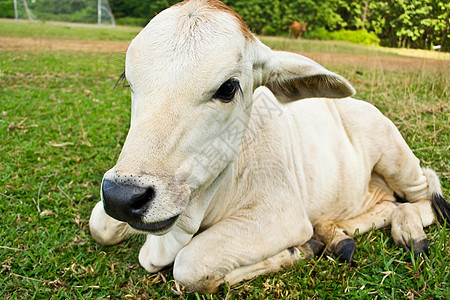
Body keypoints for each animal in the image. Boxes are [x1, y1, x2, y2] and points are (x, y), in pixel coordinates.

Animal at [89, 0, 450, 294]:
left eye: (228, 87)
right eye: (127, 79)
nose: (123, 197)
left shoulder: (283, 219)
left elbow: (190, 266)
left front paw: (295, 250)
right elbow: (99, 226)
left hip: (398, 160)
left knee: (425, 198)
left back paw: (409, 233)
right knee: (387, 206)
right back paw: (335, 236)